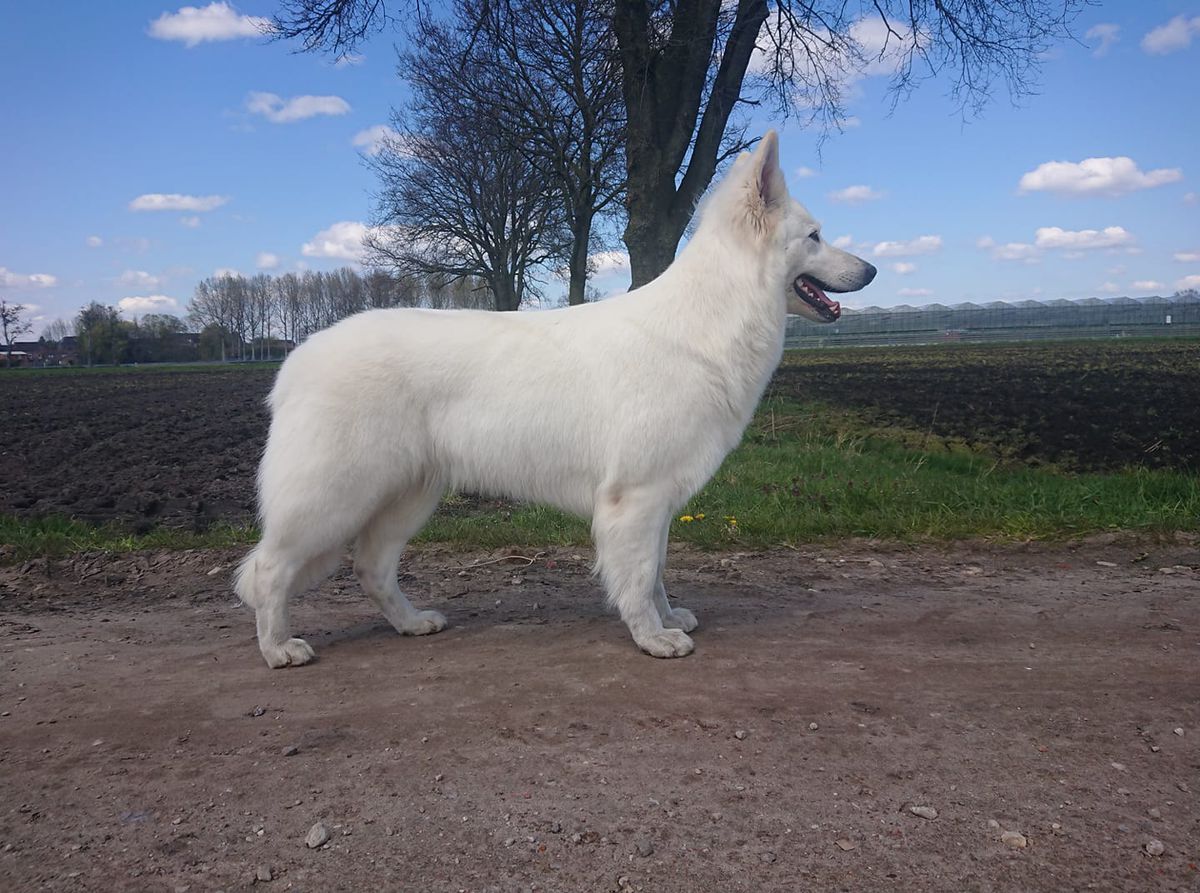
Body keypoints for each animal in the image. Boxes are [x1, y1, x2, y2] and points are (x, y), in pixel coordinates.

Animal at [234, 129, 878, 667]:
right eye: (815, 236)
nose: (872, 269)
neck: (707, 320)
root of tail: (296, 361)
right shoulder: (635, 498)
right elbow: (638, 577)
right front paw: (653, 637)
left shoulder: (657, 500)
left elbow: (657, 570)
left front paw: (668, 618)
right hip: (335, 496)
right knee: (269, 569)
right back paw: (278, 650)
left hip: (409, 495)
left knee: (370, 567)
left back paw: (411, 623)